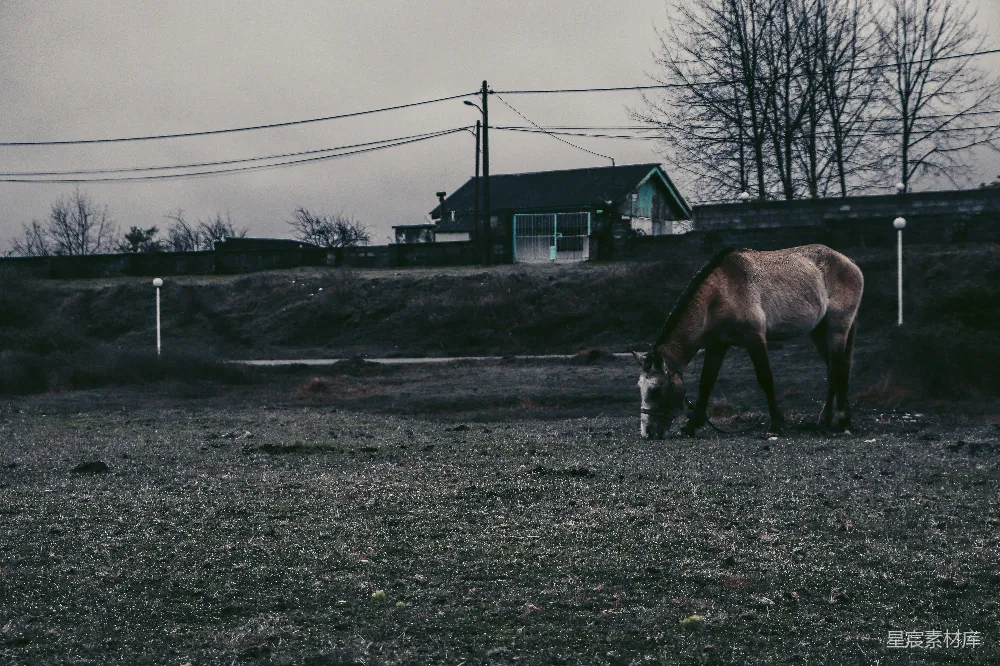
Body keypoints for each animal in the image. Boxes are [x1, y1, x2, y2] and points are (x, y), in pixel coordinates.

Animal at [632, 244, 864, 439]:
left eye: (655, 390)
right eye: (640, 387)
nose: (647, 433)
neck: (719, 293)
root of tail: (850, 262)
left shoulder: (755, 340)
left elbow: (765, 379)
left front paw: (776, 424)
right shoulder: (717, 346)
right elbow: (706, 383)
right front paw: (692, 425)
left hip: (837, 329)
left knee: (836, 370)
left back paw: (829, 421)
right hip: (818, 331)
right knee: (838, 368)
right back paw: (839, 420)